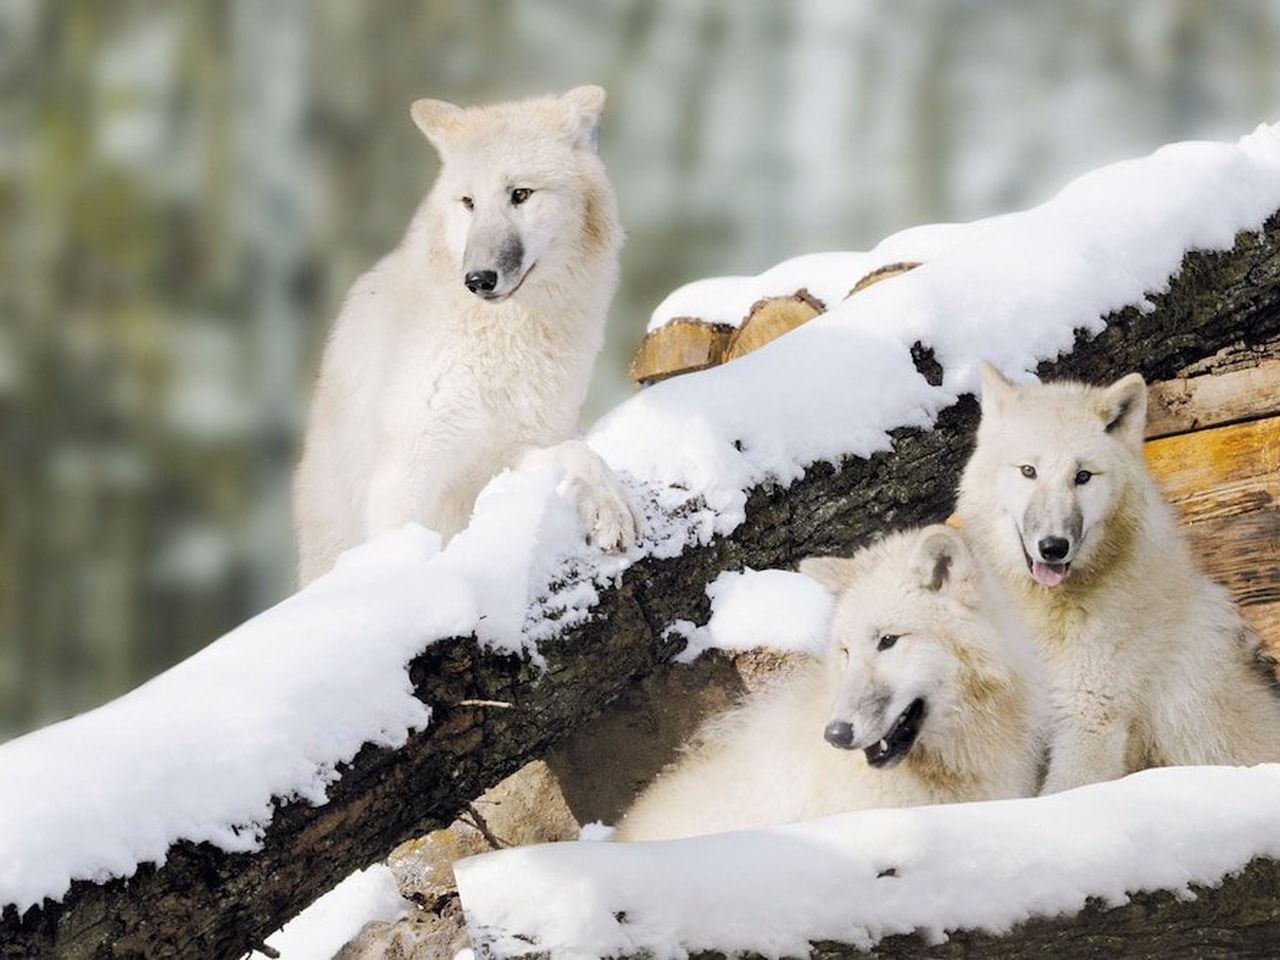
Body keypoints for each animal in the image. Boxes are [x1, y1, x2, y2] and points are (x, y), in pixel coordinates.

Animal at [296, 88, 640, 586]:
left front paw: (613, 510)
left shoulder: (507, 456)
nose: (478, 279)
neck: (502, 342)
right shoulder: (409, 468)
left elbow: (582, 453)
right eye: (468, 202)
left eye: (520, 194)